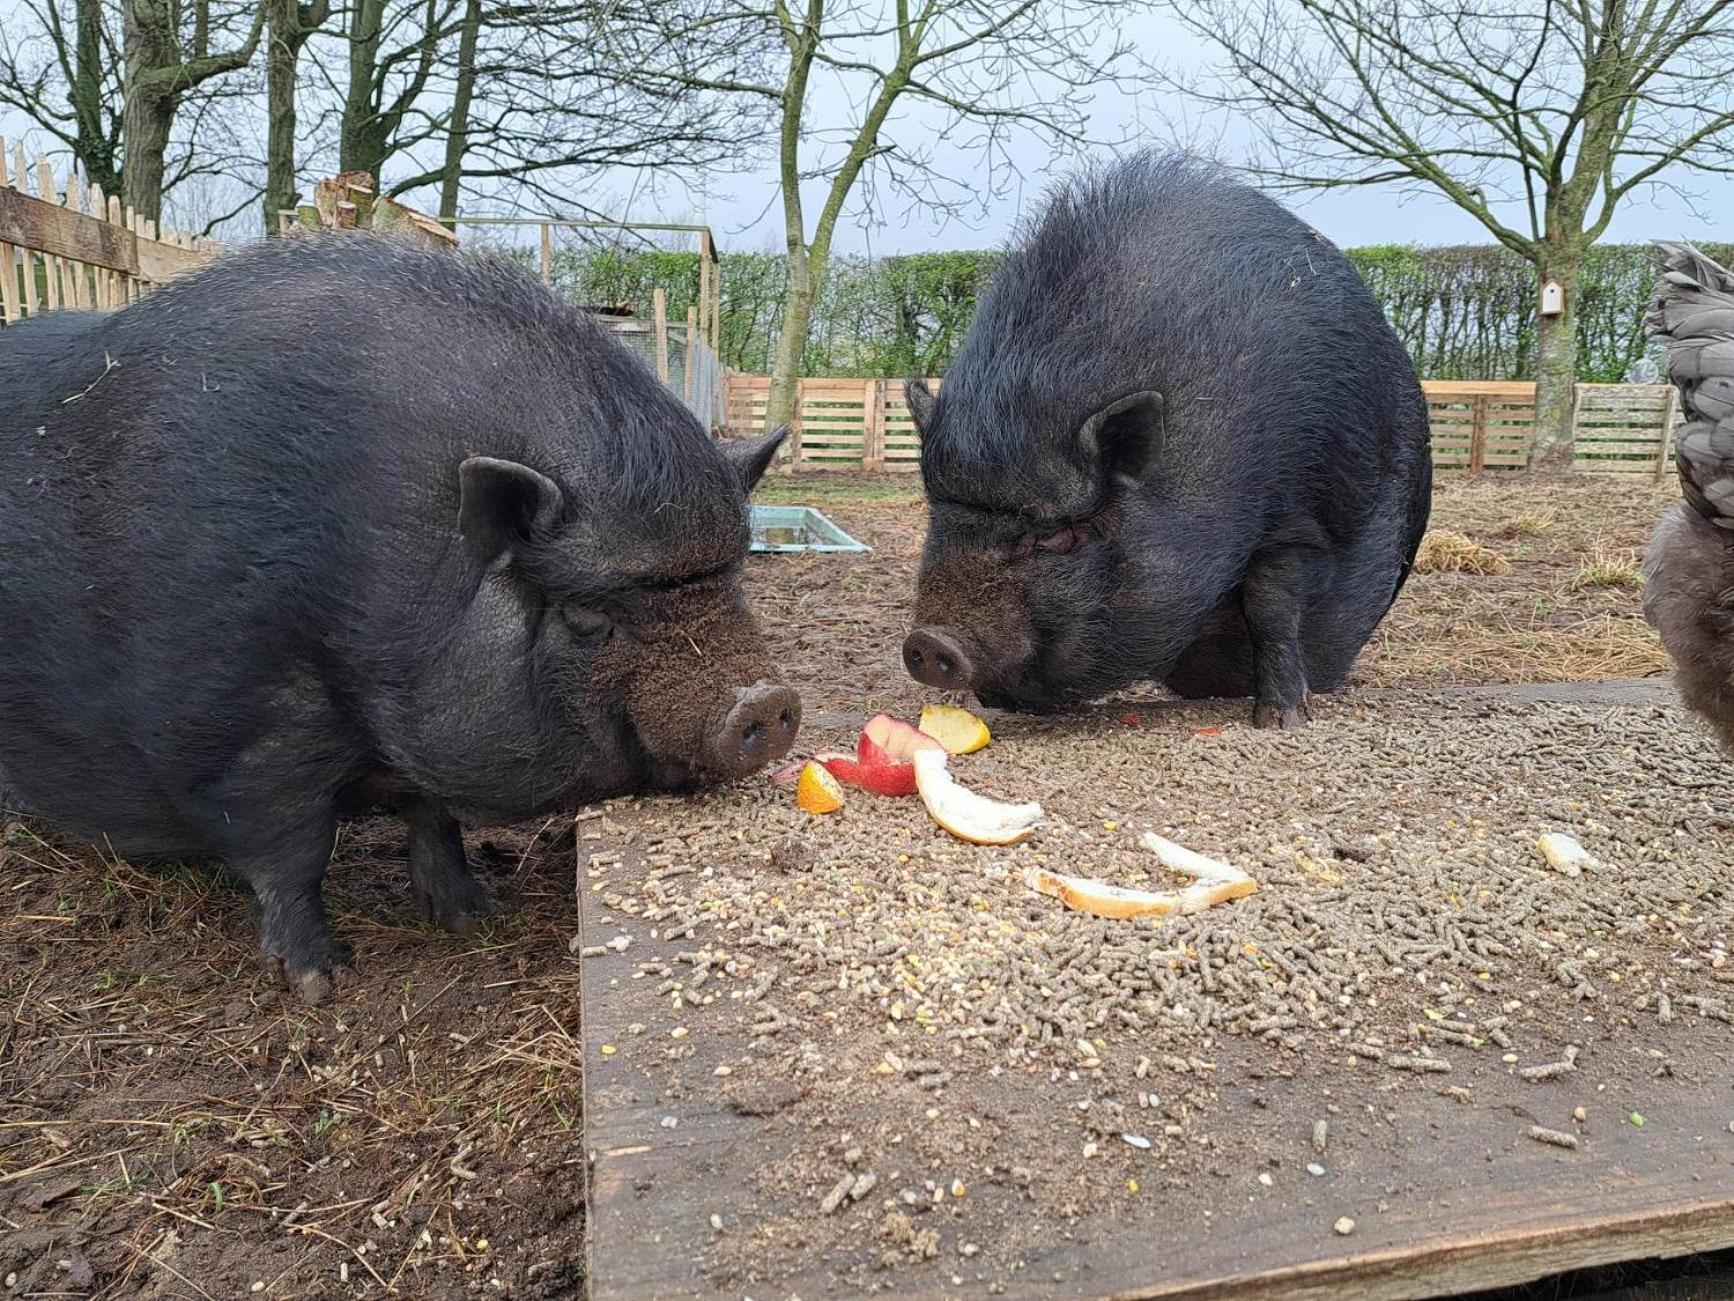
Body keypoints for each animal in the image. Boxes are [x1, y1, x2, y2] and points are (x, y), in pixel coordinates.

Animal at [0, 239, 797, 1006]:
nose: (766, 699)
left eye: (734, 577)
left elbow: (433, 813)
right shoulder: (235, 725)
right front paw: (320, 984)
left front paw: (472, 916)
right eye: (585, 613)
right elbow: (290, 851)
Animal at [901, 155, 1428, 725]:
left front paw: (1282, 720)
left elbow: (1272, 605)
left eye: (1057, 535)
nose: (929, 643)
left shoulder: (1297, 519)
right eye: (938, 515)